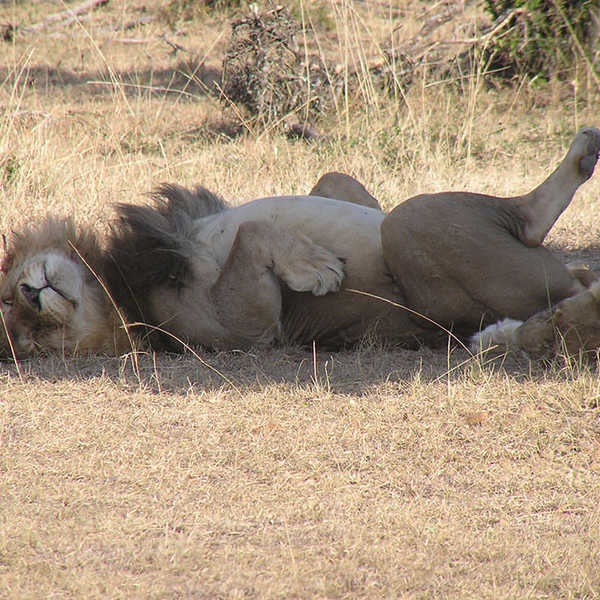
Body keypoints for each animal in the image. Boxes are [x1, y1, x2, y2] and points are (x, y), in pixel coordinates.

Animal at [1, 127, 600, 358]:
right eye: (29, 337)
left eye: (5, 296)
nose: (32, 296)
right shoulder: (246, 329)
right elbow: (252, 235)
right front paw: (316, 268)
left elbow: (334, 182)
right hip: (417, 228)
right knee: (530, 229)